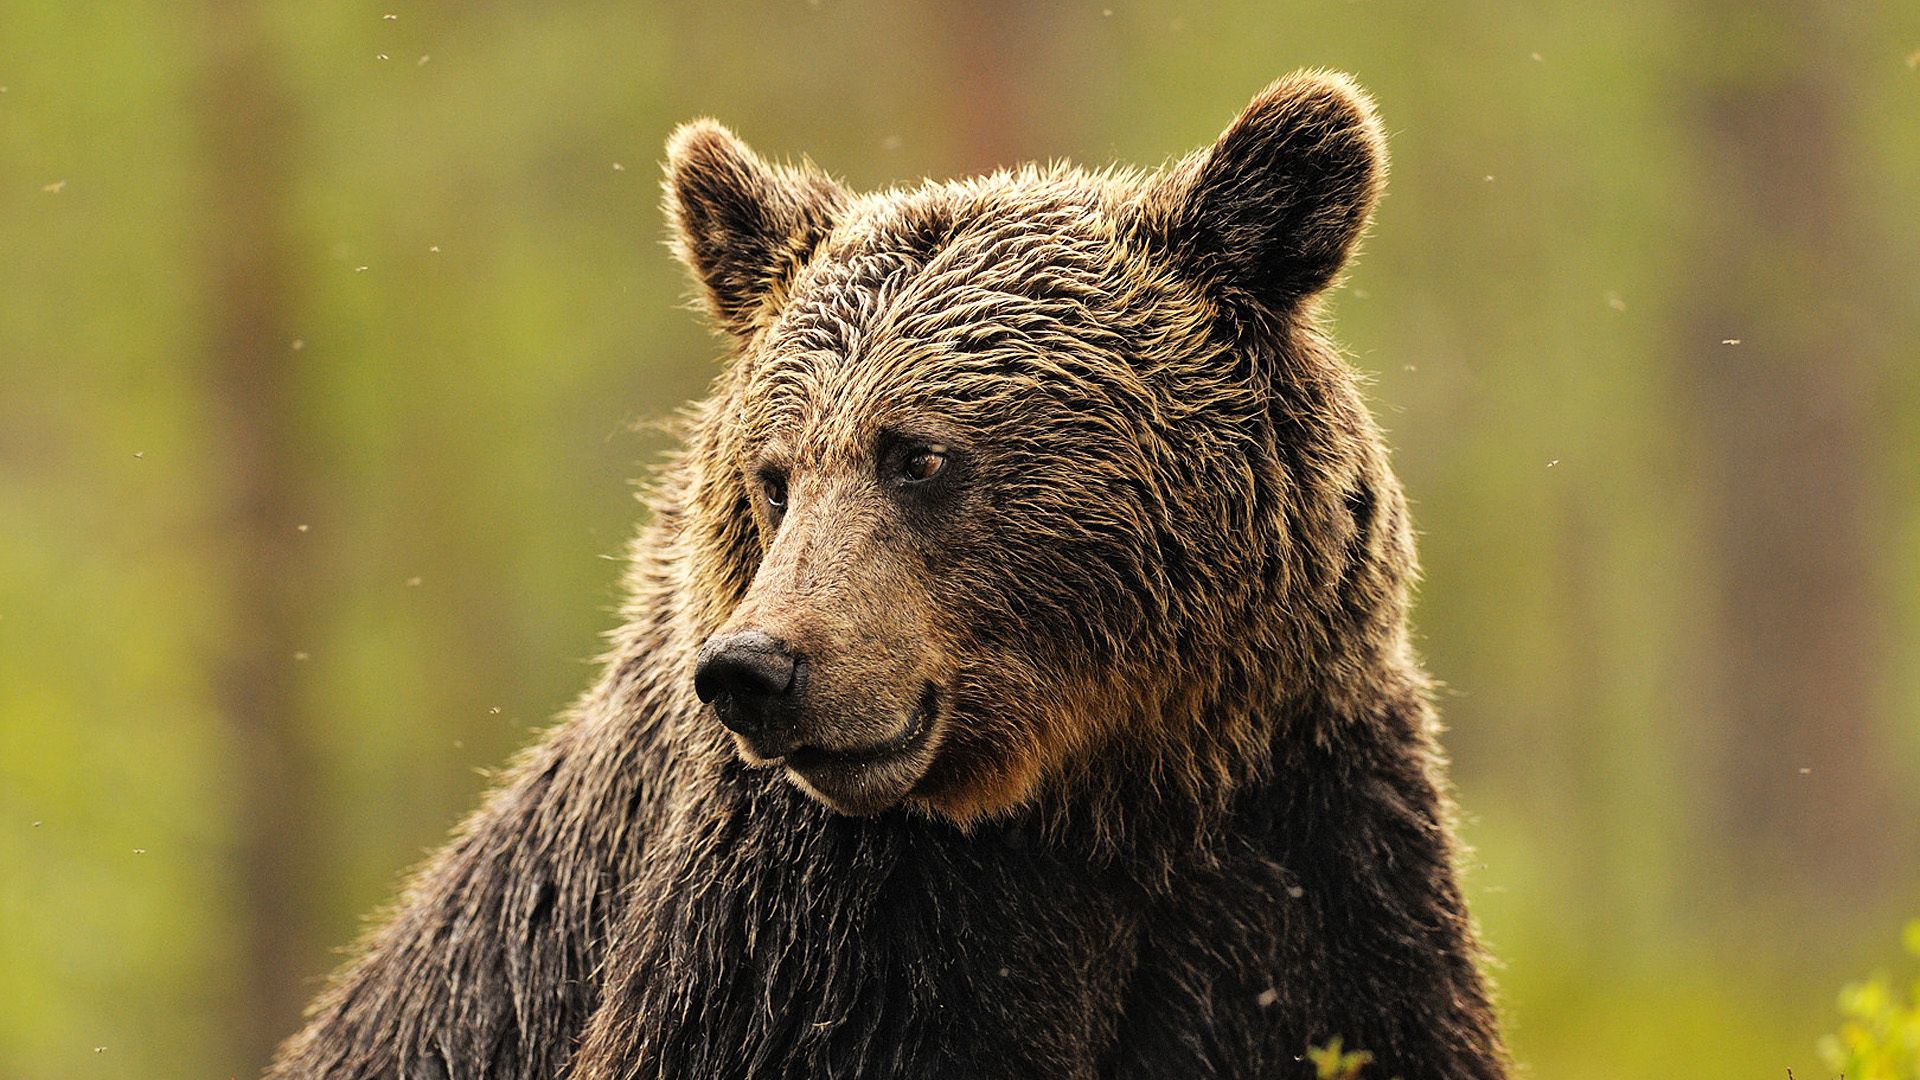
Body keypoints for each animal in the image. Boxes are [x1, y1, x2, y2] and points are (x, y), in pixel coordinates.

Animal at [263, 69, 1505, 1076]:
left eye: (918, 455)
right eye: (774, 475)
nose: (756, 670)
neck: (1098, 796)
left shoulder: (1309, 845)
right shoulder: (816, 935)